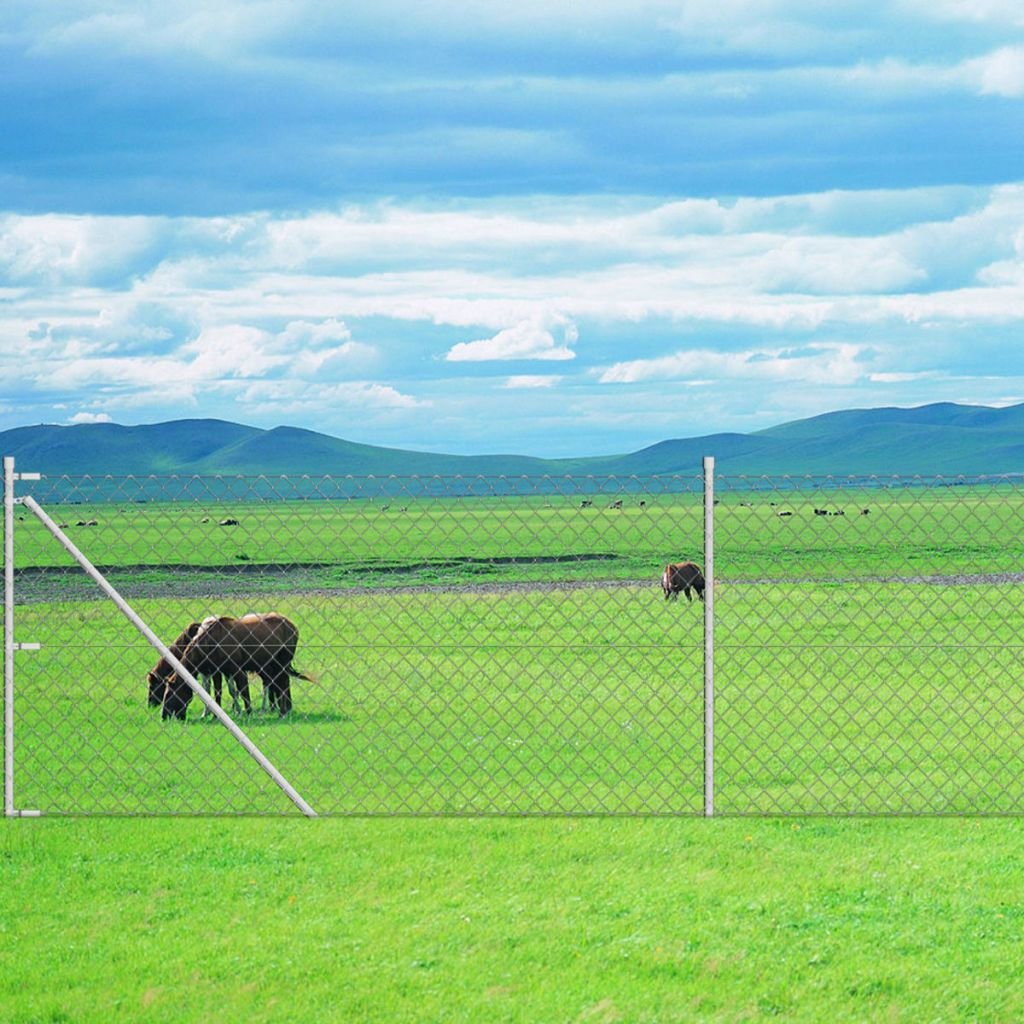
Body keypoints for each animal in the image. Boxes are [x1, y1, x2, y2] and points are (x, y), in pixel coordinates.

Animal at [159, 614, 309, 720]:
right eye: (165, 693)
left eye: (170, 694)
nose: (164, 716)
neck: (208, 645)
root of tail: (294, 628)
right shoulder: (218, 671)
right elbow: (218, 692)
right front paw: (215, 715)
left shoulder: (237, 669)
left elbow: (243, 691)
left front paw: (248, 712)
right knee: (279, 685)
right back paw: (285, 710)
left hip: (282, 663)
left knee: (283, 684)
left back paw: (283, 711)